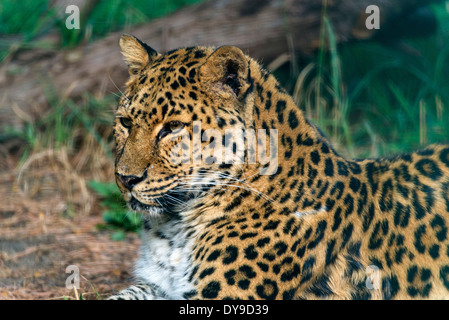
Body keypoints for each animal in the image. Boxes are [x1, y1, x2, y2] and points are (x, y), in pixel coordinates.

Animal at [108, 35, 448, 300]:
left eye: (174, 127)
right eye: (125, 122)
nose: (126, 179)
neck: (175, 227)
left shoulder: (223, 296)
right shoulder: (157, 286)